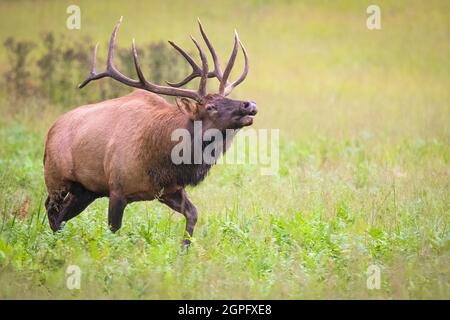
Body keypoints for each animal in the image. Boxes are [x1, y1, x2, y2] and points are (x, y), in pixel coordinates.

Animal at [44, 17, 258, 245]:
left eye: (227, 98)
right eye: (210, 107)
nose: (249, 104)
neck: (161, 160)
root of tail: (51, 131)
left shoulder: (169, 190)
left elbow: (193, 215)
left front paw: (183, 250)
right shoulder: (117, 189)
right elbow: (113, 230)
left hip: (85, 190)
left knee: (61, 216)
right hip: (56, 178)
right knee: (51, 209)